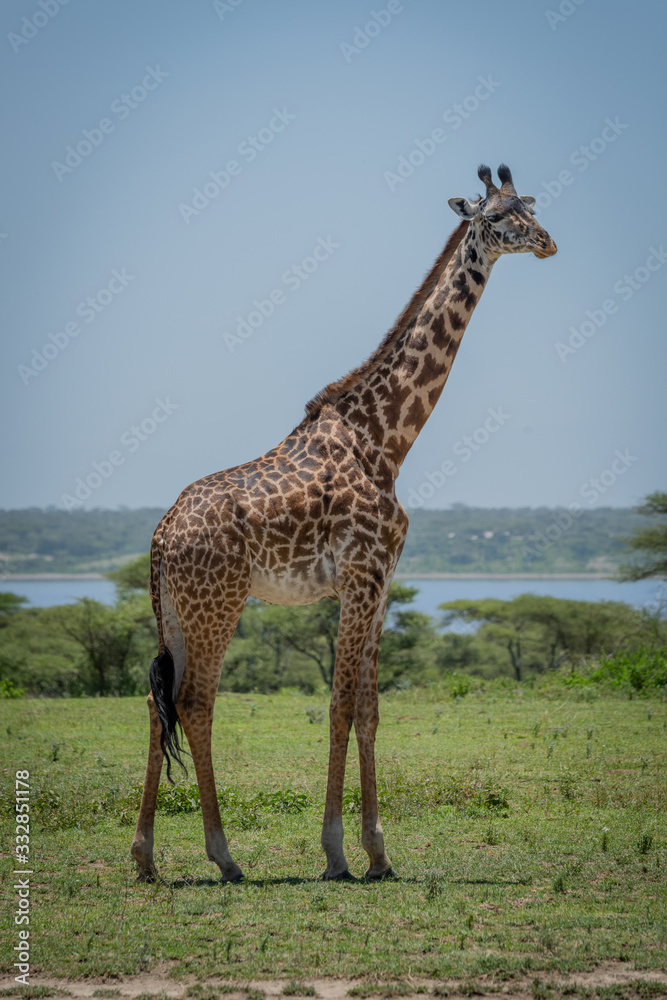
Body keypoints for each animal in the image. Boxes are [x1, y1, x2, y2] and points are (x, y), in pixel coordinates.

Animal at [131, 163, 557, 883]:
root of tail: (160, 539)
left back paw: (145, 857)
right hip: (218, 604)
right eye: (498, 218)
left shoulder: (382, 582)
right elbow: (338, 706)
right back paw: (223, 856)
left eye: (530, 206)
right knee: (194, 702)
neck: (385, 439)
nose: (549, 242)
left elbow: (370, 708)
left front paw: (379, 852)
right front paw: (335, 852)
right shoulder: (359, 576)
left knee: (158, 701)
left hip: (177, 613)